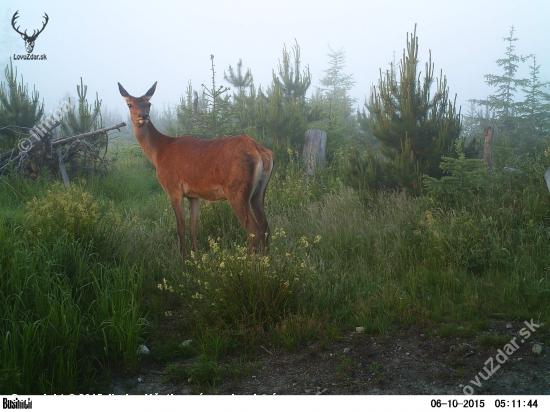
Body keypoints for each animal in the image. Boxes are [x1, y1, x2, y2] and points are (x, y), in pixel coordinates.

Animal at [121, 81, 276, 258]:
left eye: (149, 103)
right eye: (130, 104)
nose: (143, 115)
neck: (158, 153)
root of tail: (261, 152)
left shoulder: (173, 188)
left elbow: (180, 228)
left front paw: (183, 259)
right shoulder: (193, 195)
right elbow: (193, 228)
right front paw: (197, 256)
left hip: (237, 190)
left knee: (254, 231)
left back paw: (249, 263)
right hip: (258, 191)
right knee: (266, 228)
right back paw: (266, 260)